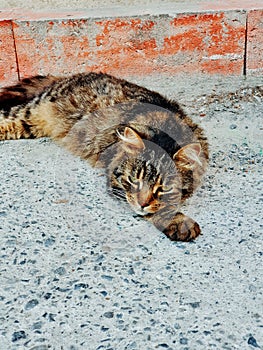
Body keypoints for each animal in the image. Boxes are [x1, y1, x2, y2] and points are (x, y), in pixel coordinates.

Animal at [0, 71, 210, 241]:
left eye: (163, 188)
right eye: (134, 180)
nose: (142, 204)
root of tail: (68, 76)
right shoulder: (115, 182)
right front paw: (177, 221)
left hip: (29, 125)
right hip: (30, 112)